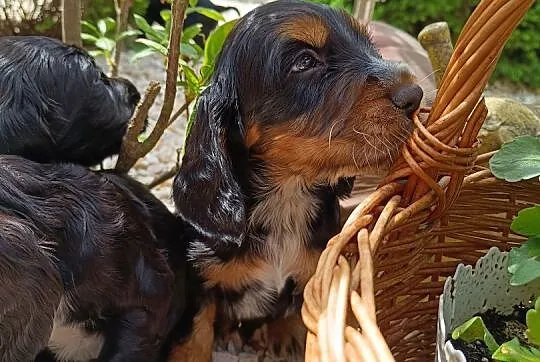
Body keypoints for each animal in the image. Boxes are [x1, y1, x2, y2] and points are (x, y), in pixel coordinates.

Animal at [169, 1, 422, 360]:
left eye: (369, 48)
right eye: (304, 62)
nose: (415, 96)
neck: (288, 194)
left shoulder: (314, 270)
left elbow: (294, 312)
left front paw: (285, 337)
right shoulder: (199, 276)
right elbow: (197, 331)